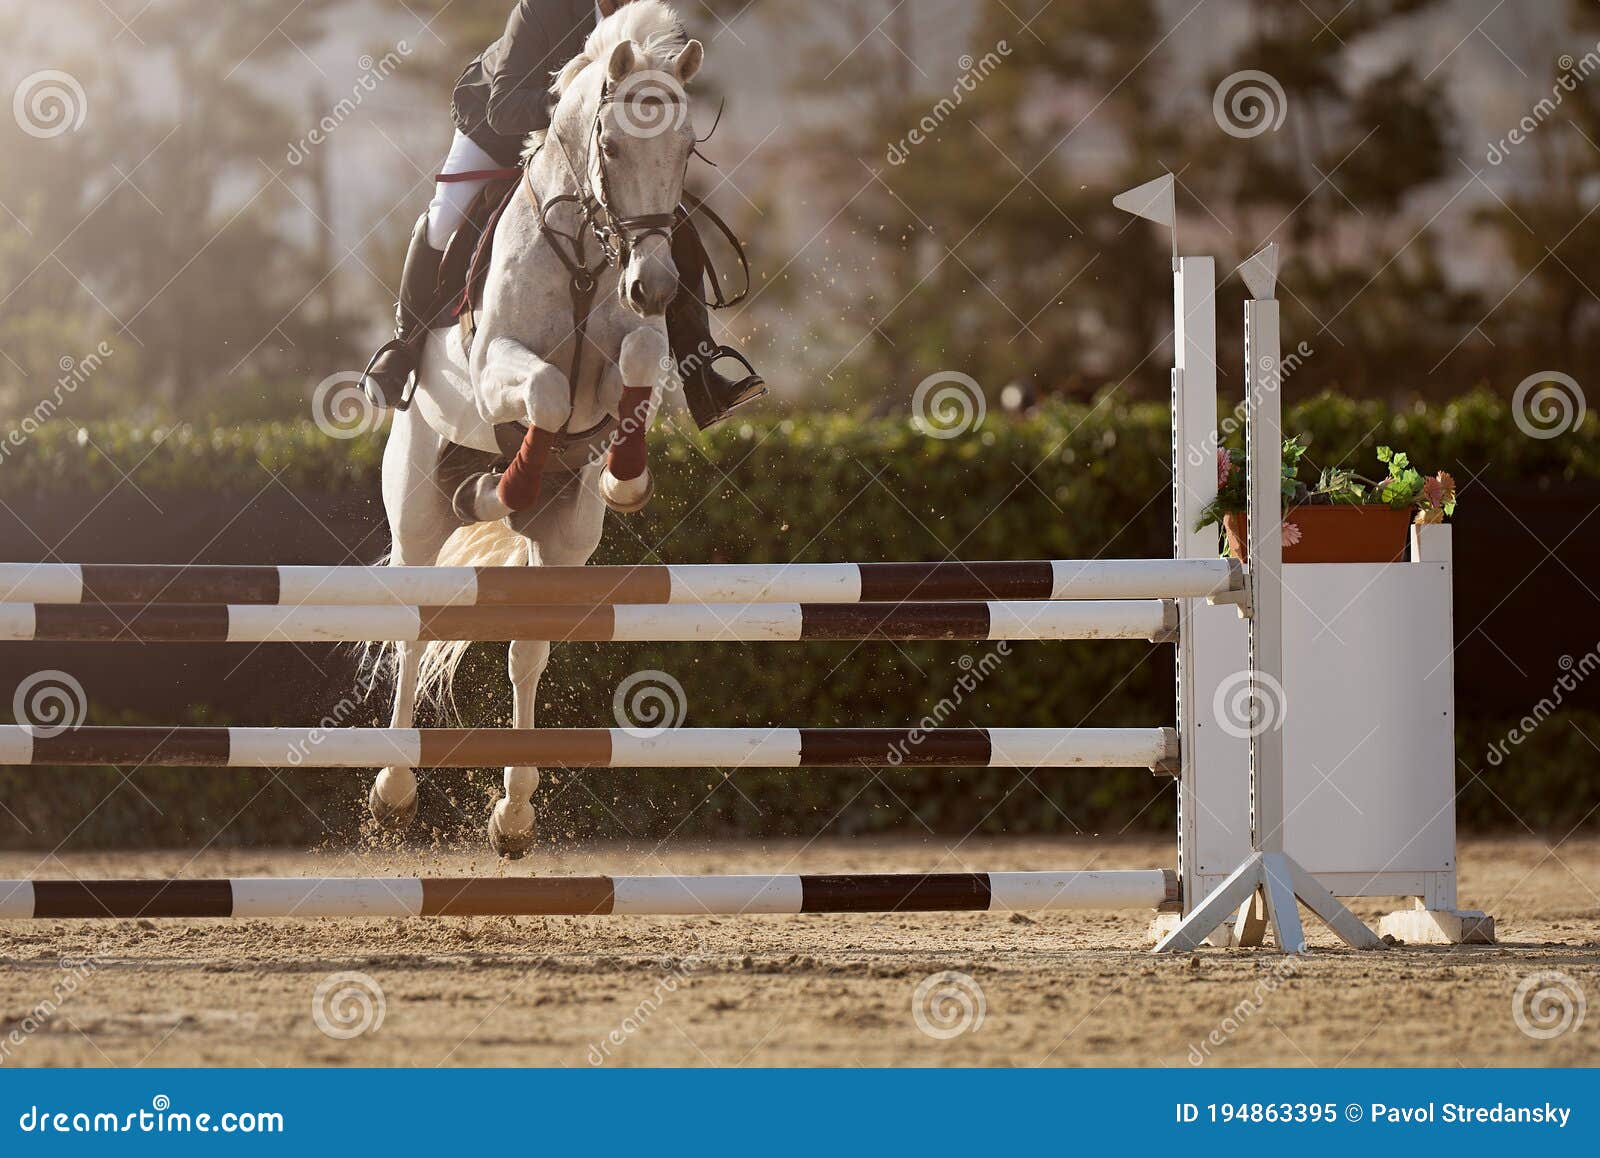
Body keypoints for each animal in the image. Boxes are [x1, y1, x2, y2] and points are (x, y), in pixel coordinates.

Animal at [374, 4, 707, 857]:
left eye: (686, 149)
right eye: (613, 146)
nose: (656, 285)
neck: (589, 250)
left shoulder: (624, 364)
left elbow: (635, 360)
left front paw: (626, 477)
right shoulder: (498, 364)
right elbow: (548, 395)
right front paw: (509, 480)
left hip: (563, 541)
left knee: (528, 650)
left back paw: (516, 812)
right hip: (415, 514)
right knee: (413, 629)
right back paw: (394, 789)